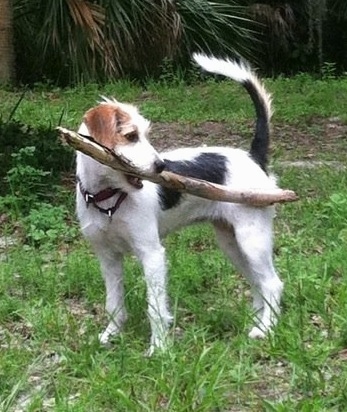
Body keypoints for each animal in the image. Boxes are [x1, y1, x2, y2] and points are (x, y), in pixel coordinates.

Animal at [75, 53, 282, 352]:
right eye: (130, 135)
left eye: (146, 134)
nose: (160, 166)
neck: (109, 196)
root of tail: (253, 157)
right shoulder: (108, 257)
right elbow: (113, 304)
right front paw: (111, 335)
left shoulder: (151, 255)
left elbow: (155, 307)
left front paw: (159, 348)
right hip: (232, 243)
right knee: (257, 283)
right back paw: (255, 321)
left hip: (252, 239)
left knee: (272, 284)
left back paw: (266, 329)